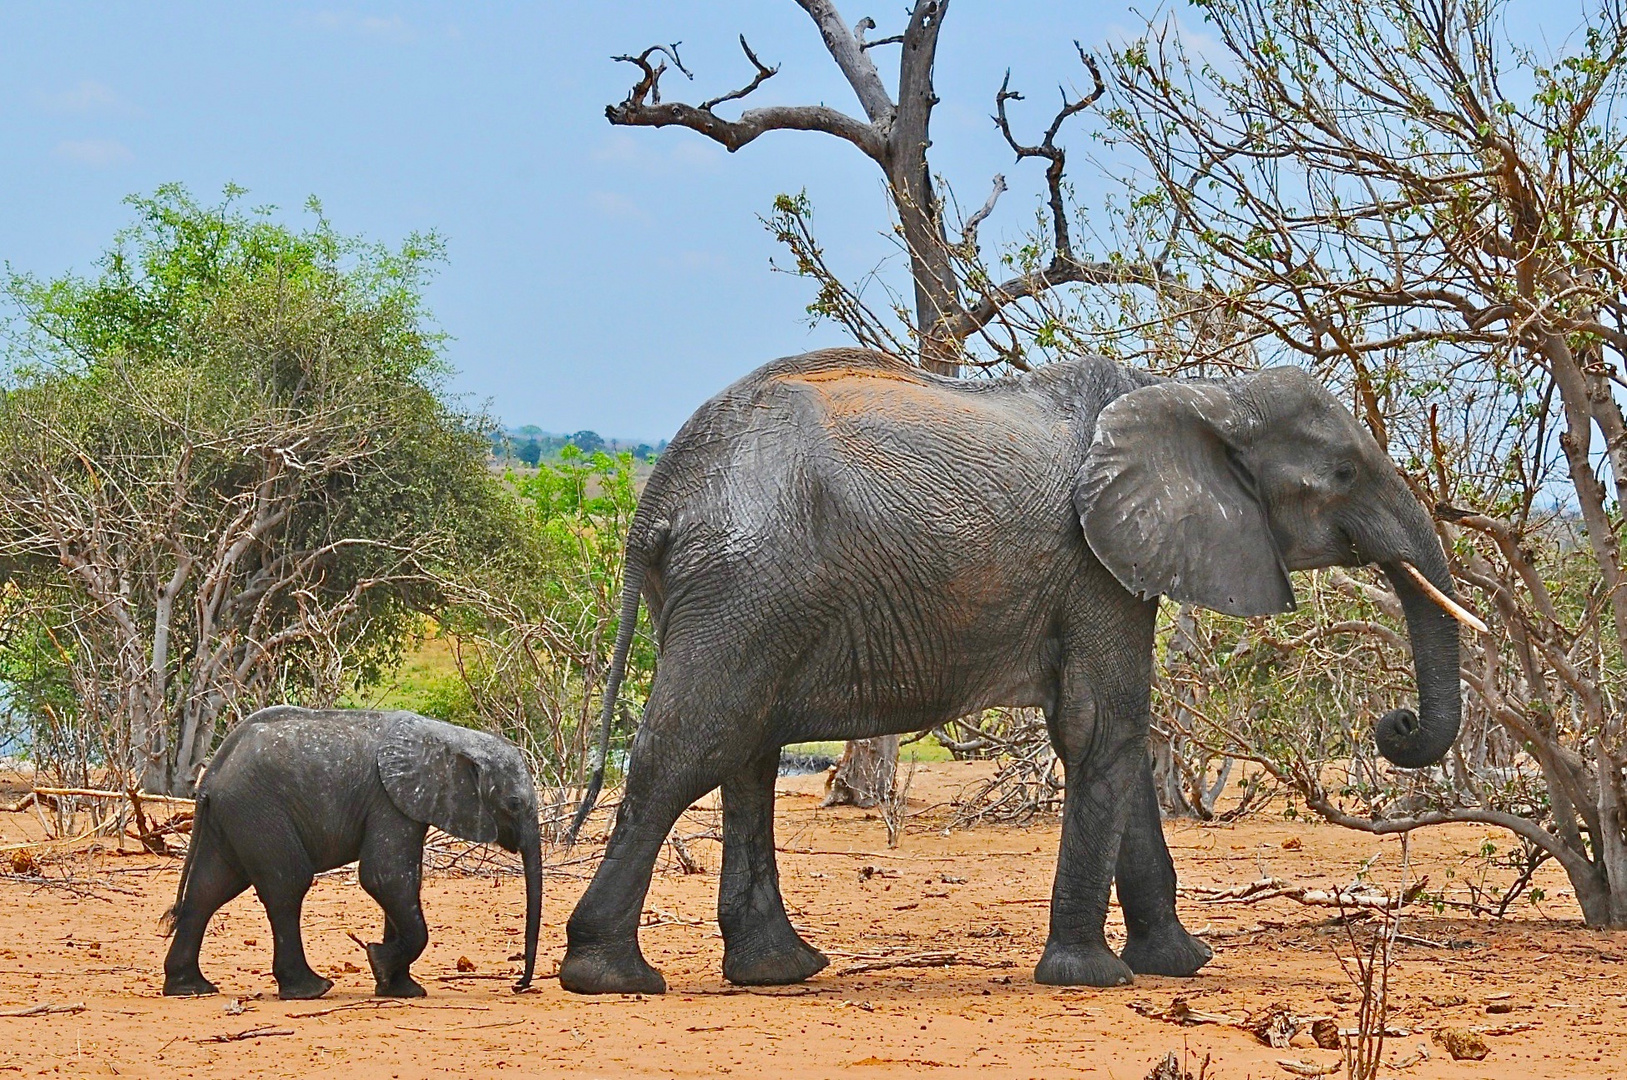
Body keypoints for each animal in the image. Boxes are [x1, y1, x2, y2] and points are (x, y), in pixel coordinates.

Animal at [161, 705, 540, 1001]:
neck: (451, 738)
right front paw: (378, 961)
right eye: (514, 803)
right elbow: (384, 877)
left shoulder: (404, 802)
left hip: (233, 817)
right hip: (257, 810)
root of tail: (210, 776)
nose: (519, 985)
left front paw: (400, 990)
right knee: (287, 886)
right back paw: (311, 990)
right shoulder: (389, 799)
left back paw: (190, 988)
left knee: (208, 891)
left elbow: (402, 881)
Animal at [562, 348, 1477, 995]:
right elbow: (1103, 726)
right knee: (691, 750)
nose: (1395, 724)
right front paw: (1092, 977)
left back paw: (779, 971)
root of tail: (656, 501)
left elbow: (1105, 737)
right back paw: (611, 977)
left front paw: (1179, 963)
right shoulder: (1093, 563)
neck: (1200, 393)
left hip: (746, 594)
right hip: (746, 584)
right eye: (1342, 475)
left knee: (745, 753)